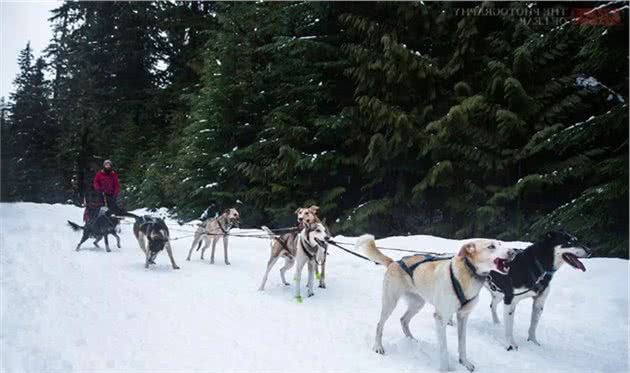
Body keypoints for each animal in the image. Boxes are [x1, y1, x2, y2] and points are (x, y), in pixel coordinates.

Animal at [360, 234, 520, 370]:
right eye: (491, 246)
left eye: (501, 243)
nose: (513, 252)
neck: (465, 275)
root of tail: (394, 262)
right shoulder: (440, 318)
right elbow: (443, 350)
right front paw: (445, 369)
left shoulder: (463, 316)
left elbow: (462, 344)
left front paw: (464, 362)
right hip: (390, 303)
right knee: (379, 324)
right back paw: (378, 346)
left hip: (417, 304)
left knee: (403, 320)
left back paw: (412, 340)